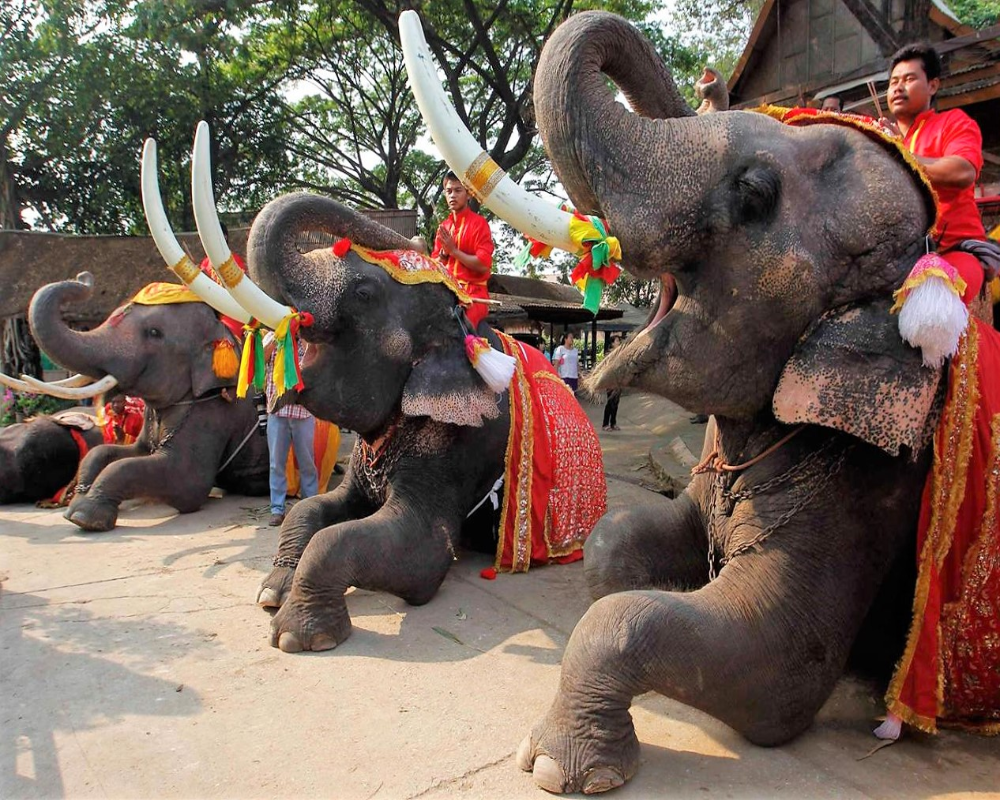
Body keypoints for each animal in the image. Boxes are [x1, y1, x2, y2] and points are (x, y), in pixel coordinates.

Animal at [24, 272, 269, 531]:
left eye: (154, 333)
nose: (84, 278)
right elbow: (109, 451)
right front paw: (76, 503)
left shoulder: (213, 414)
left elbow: (186, 482)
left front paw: (85, 517)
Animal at [399, 9, 961, 795]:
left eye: (753, 194)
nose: (706, 80)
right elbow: (613, 547)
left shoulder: (874, 477)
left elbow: (774, 673)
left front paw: (553, 765)